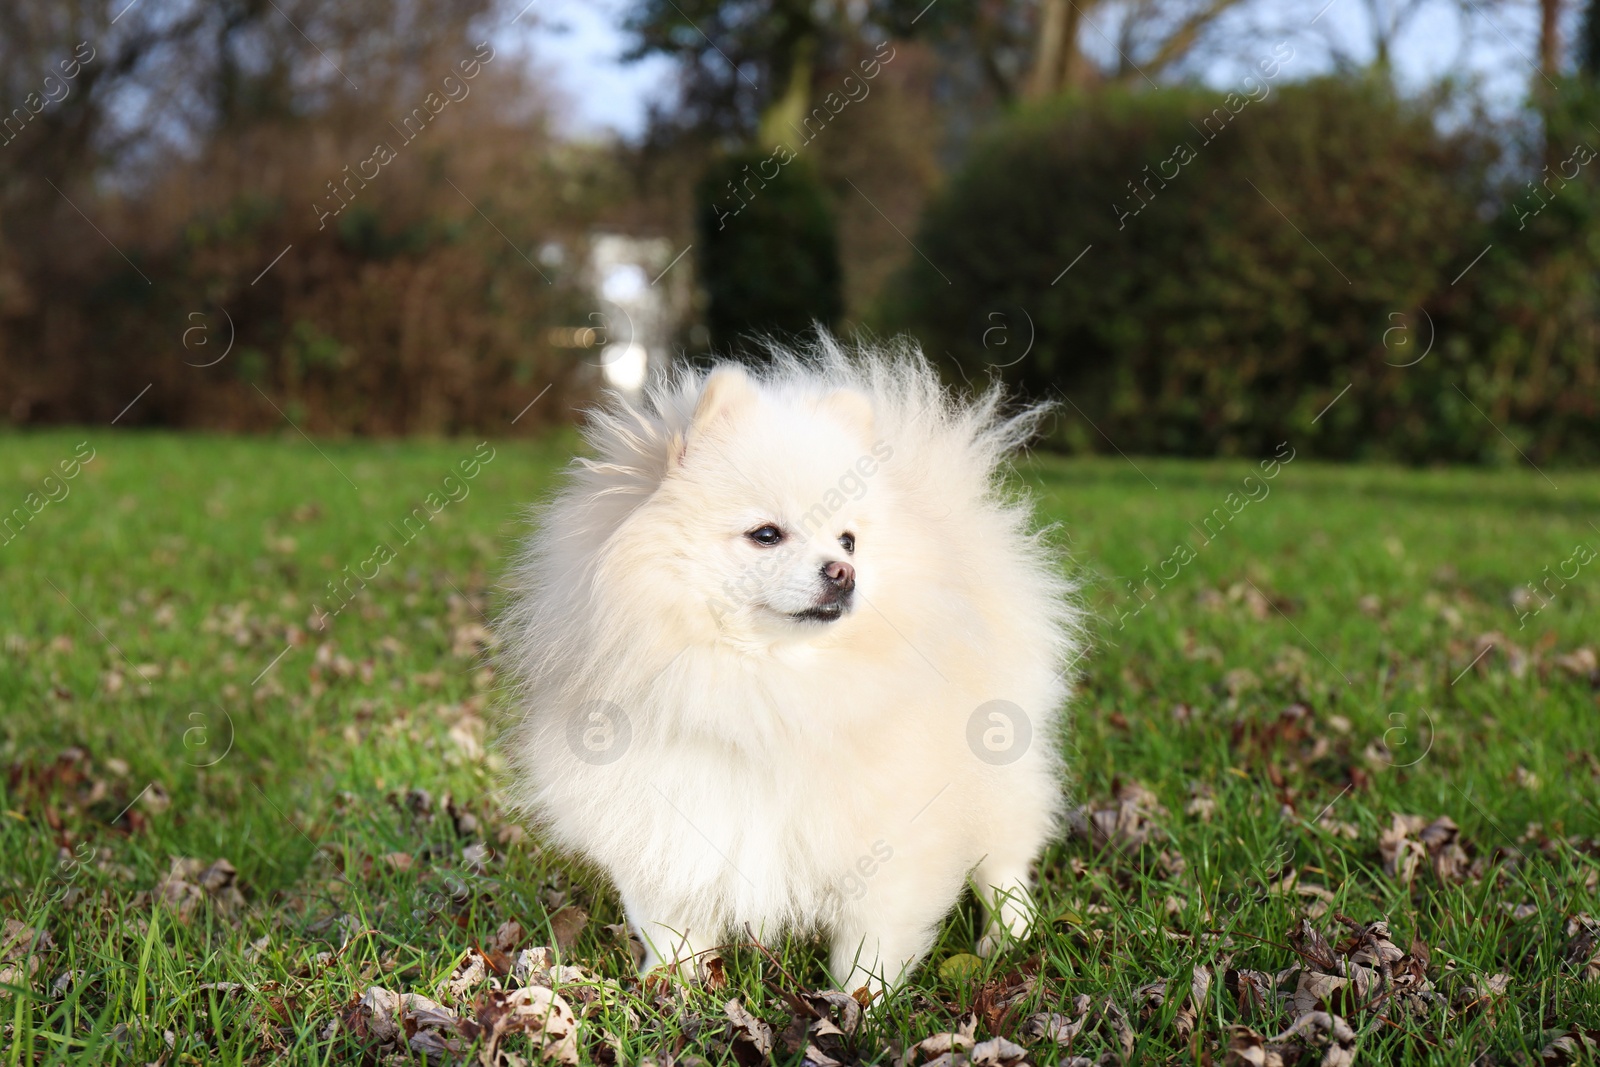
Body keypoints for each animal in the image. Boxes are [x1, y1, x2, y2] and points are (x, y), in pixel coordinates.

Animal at [499, 337, 1075, 998]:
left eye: (848, 540)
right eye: (766, 534)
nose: (843, 571)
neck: (766, 690)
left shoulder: (892, 833)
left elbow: (870, 940)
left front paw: (859, 1004)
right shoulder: (664, 823)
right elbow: (672, 923)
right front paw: (676, 991)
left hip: (1001, 768)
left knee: (1005, 863)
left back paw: (1007, 935)